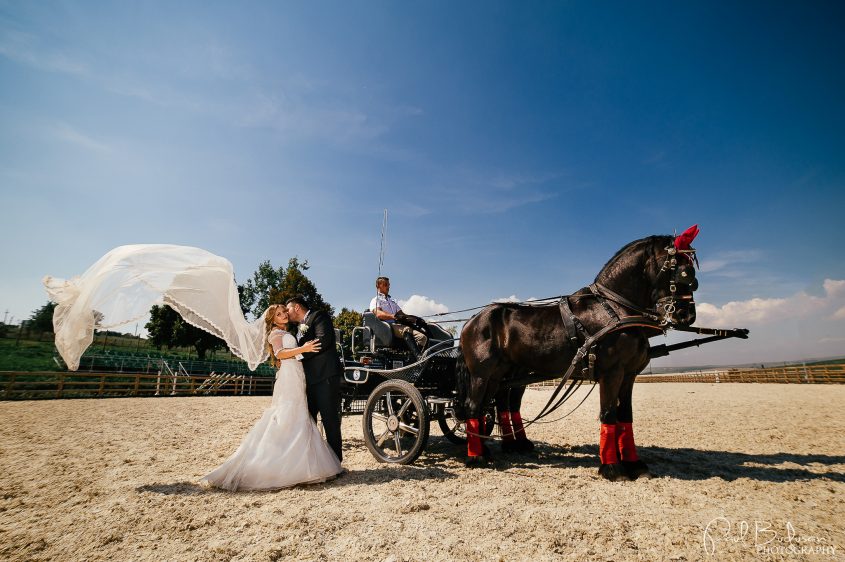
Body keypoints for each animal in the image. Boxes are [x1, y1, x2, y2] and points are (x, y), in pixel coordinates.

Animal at [454, 225, 700, 480]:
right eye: (682, 271)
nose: (687, 315)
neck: (615, 309)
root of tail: (473, 320)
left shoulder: (629, 375)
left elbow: (625, 415)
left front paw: (634, 463)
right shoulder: (612, 373)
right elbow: (608, 414)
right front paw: (612, 467)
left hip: (499, 375)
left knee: (488, 407)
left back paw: (489, 449)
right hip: (481, 374)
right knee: (473, 406)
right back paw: (476, 457)